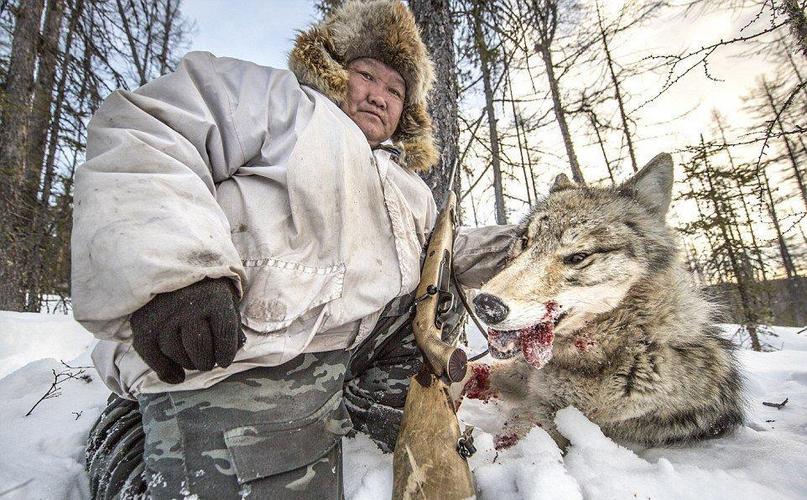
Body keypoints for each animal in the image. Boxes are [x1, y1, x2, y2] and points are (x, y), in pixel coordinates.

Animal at [460, 154, 744, 448]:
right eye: (525, 242)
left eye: (578, 257)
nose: (486, 305)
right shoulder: (525, 377)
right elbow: (475, 370)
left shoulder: (554, 417)